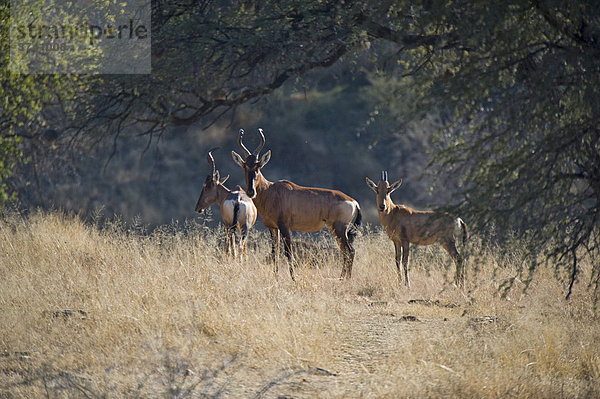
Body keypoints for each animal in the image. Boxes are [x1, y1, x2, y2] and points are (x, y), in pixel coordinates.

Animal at [231, 129, 360, 282]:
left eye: (258, 166)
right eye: (245, 166)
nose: (251, 191)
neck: (271, 190)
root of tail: (354, 202)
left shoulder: (284, 226)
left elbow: (288, 252)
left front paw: (293, 279)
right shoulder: (273, 228)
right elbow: (275, 252)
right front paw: (276, 278)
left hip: (339, 229)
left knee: (350, 251)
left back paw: (346, 279)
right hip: (336, 229)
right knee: (345, 251)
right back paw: (341, 278)